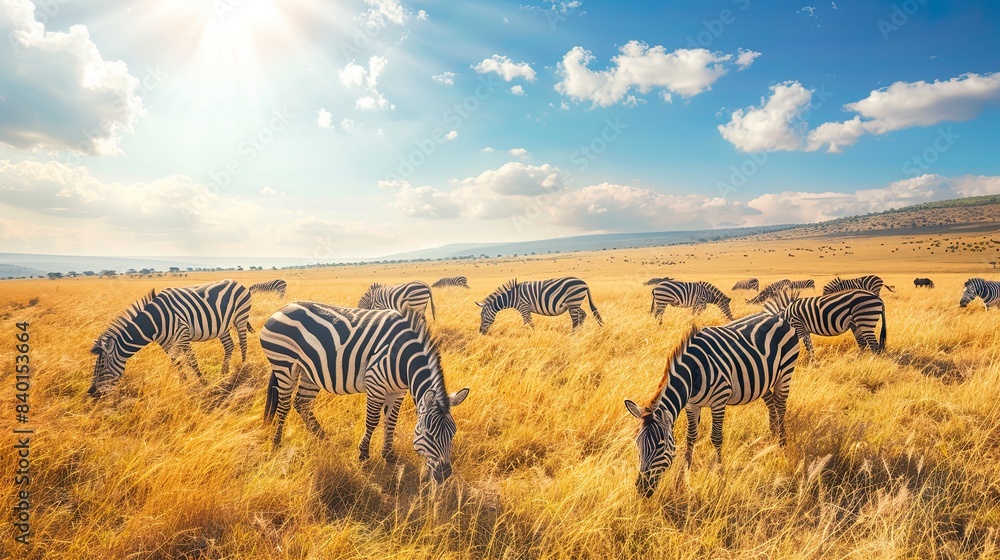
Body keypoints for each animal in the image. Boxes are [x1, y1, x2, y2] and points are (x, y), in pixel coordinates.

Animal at [88, 279, 253, 398]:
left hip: (240, 317)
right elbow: (177, 363)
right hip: (222, 326)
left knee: (243, 343)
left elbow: (192, 361)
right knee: (229, 346)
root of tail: (236, 282)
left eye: (101, 366)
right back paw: (223, 373)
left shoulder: (183, 334)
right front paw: (184, 384)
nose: (91, 393)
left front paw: (203, 383)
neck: (155, 323)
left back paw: (242, 367)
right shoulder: (166, 343)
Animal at [261, 304, 469, 482]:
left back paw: (324, 439)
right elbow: (373, 421)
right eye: (428, 434)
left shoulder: (397, 392)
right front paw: (363, 454)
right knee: (284, 405)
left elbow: (391, 422)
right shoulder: (375, 383)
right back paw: (277, 443)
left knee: (302, 403)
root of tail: (283, 308)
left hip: (308, 371)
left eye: (453, 433)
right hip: (284, 364)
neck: (404, 359)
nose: (444, 475)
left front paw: (389, 455)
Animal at [624, 309, 800, 497]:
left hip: (786, 372)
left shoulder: (719, 400)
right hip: (762, 381)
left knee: (780, 406)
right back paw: (772, 435)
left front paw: (720, 477)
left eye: (660, 446)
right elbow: (690, 437)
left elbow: (716, 438)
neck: (692, 376)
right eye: (637, 444)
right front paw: (684, 476)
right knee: (771, 402)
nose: (642, 489)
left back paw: (782, 445)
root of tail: (777, 315)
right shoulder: (691, 405)